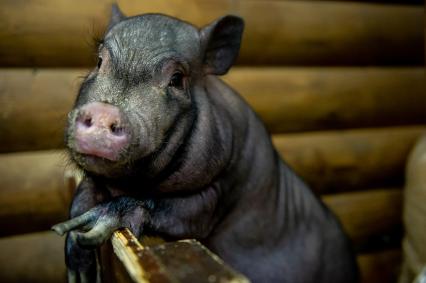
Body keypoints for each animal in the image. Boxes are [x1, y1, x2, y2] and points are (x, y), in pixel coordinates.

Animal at [53, 5, 360, 283]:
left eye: (177, 79)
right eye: (99, 61)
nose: (104, 111)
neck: (133, 182)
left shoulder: (221, 190)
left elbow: (178, 212)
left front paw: (95, 227)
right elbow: (81, 196)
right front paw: (77, 264)